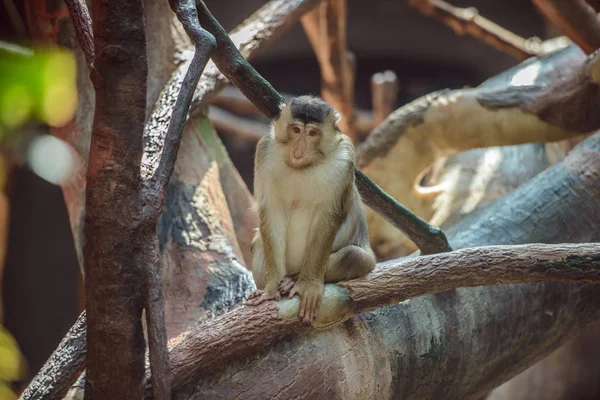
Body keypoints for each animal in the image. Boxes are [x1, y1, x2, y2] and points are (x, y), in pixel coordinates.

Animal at [244, 96, 376, 324]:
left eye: (312, 133)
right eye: (296, 130)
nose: (298, 152)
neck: (303, 167)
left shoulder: (344, 158)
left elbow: (328, 218)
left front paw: (308, 285)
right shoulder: (265, 150)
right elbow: (271, 213)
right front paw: (271, 288)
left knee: (355, 255)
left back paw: (294, 279)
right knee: (258, 243)